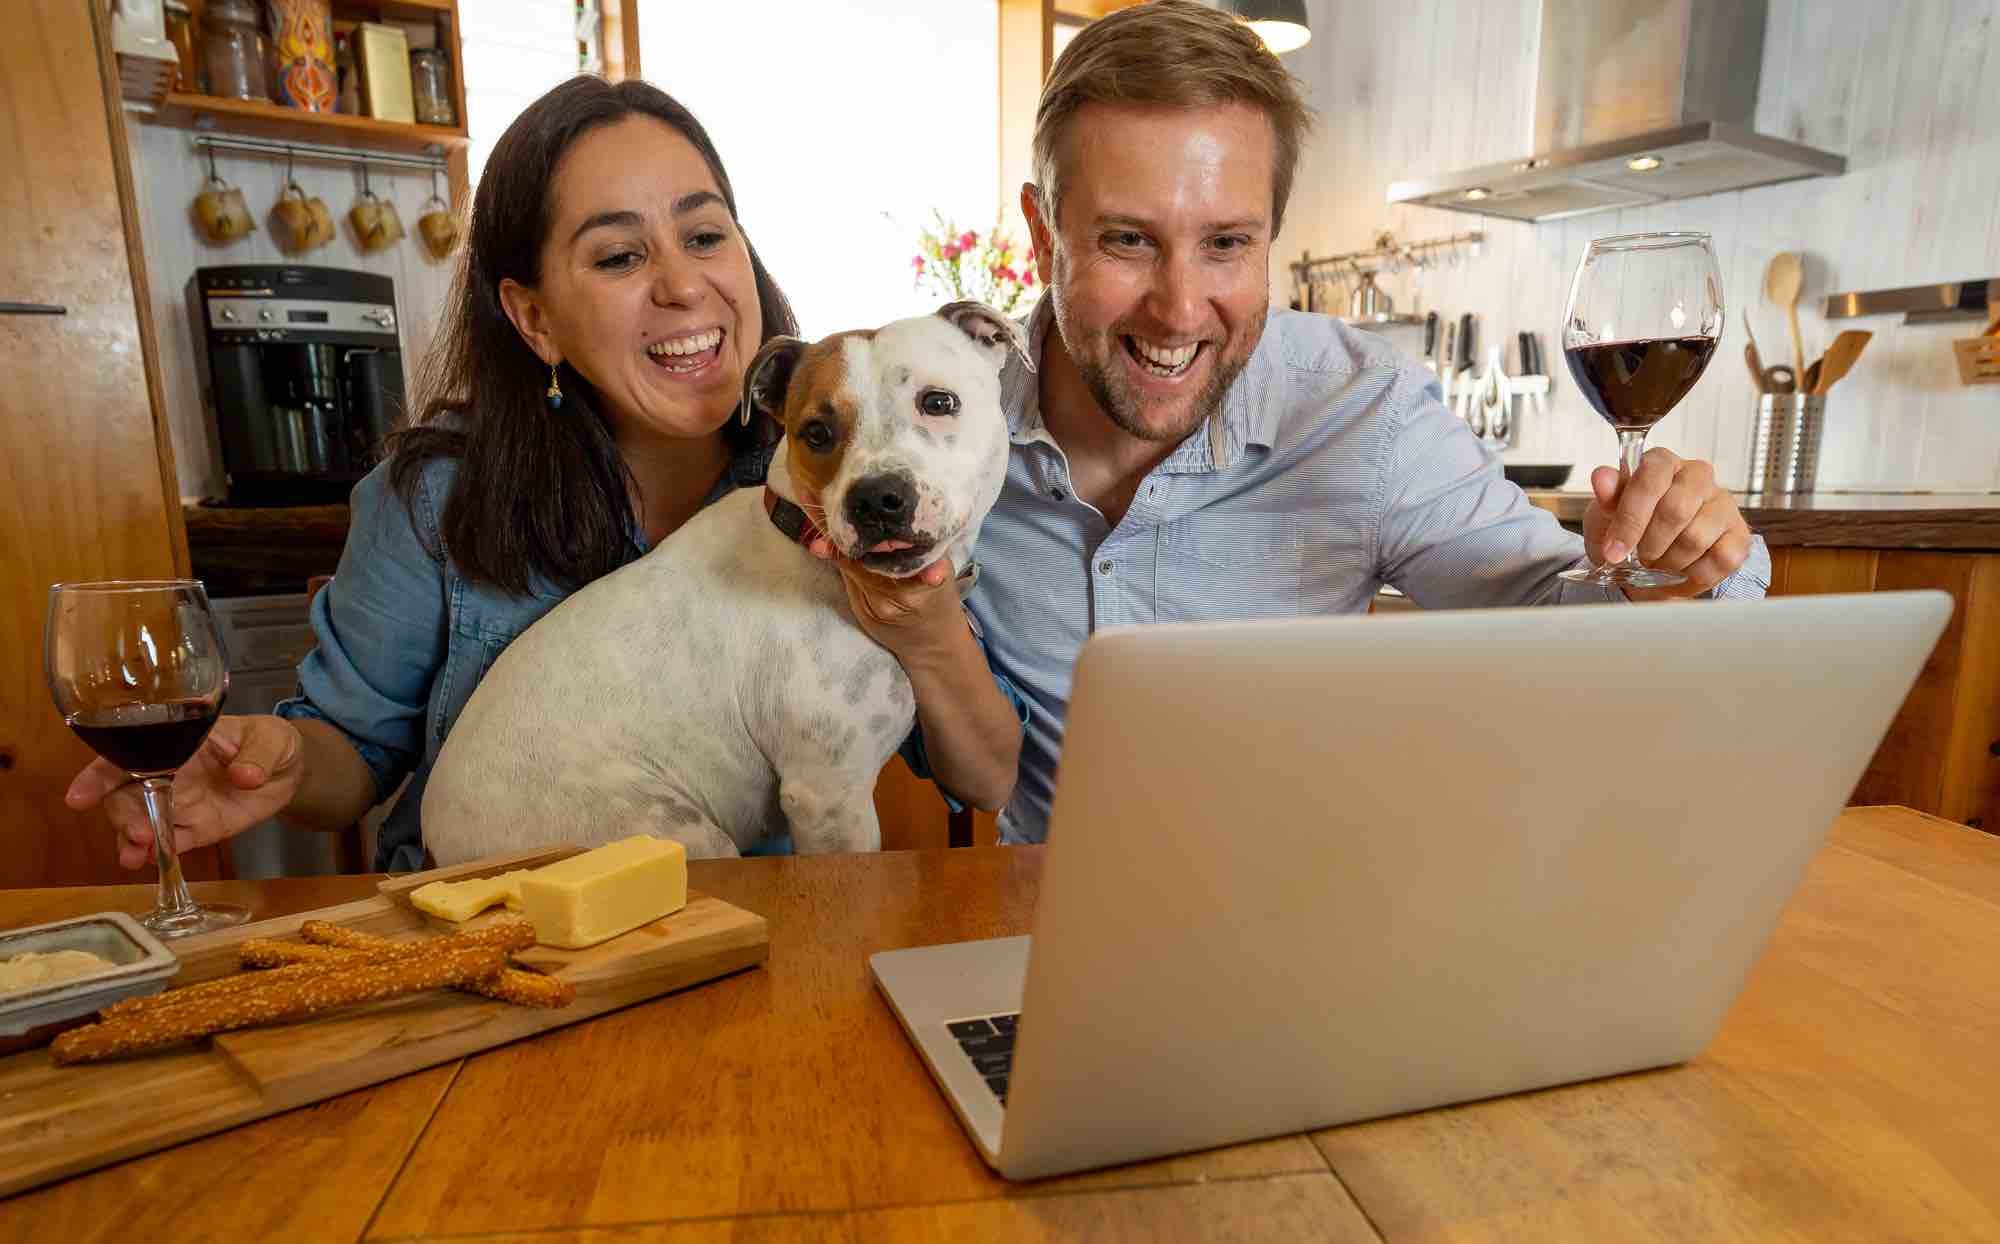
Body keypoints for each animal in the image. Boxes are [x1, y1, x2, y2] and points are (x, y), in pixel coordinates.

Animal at [416, 304, 1024, 868]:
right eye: (816, 433)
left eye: (938, 402)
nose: (876, 498)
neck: (805, 538)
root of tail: (444, 847)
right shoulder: (828, 794)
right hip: (669, 827)